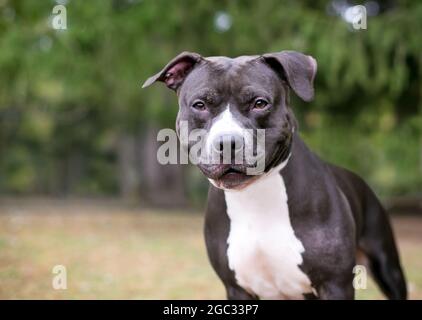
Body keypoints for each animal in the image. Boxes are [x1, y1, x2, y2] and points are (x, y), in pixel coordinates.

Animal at [143, 50, 408, 300]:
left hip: (388, 267)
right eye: (200, 105)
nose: (228, 143)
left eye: (260, 103)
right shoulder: (236, 288)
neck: (255, 195)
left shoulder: (334, 284)